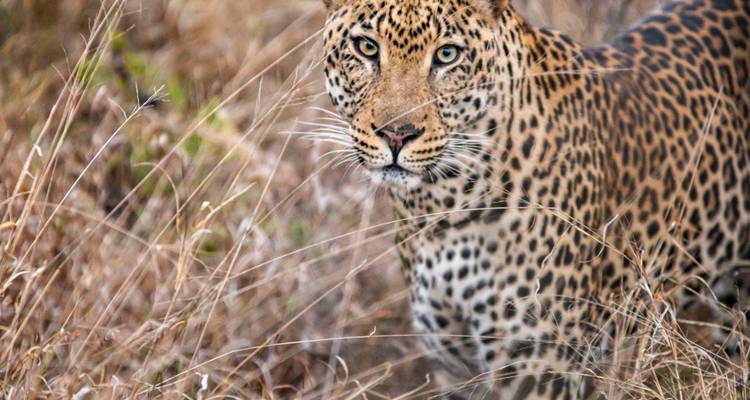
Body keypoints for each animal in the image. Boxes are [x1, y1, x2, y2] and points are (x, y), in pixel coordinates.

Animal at [320, 0, 750, 398]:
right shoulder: (455, 366)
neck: (440, 206)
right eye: (366, 47)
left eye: (447, 54)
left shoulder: (541, 372)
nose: (396, 134)